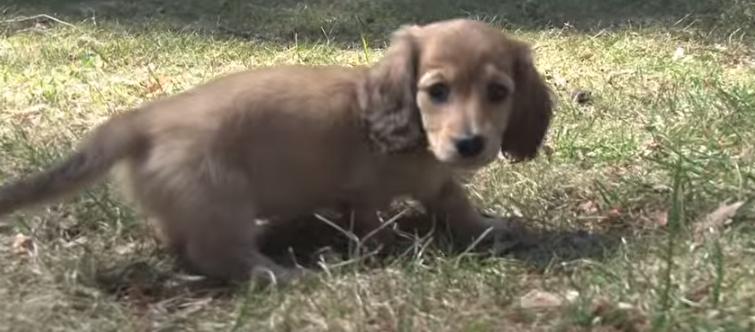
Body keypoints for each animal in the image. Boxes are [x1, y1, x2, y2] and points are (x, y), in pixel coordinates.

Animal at [0, 18, 556, 282]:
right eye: (437, 91)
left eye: (498, 92)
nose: (470, 144)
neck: (416, 142)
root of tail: (142, 120)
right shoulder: (363, 195)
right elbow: (372, 225)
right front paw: (388, 248)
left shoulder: (439, 183)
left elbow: (457, 204)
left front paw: (486, 228)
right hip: (224, 200)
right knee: (216, 253)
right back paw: (276, 274)